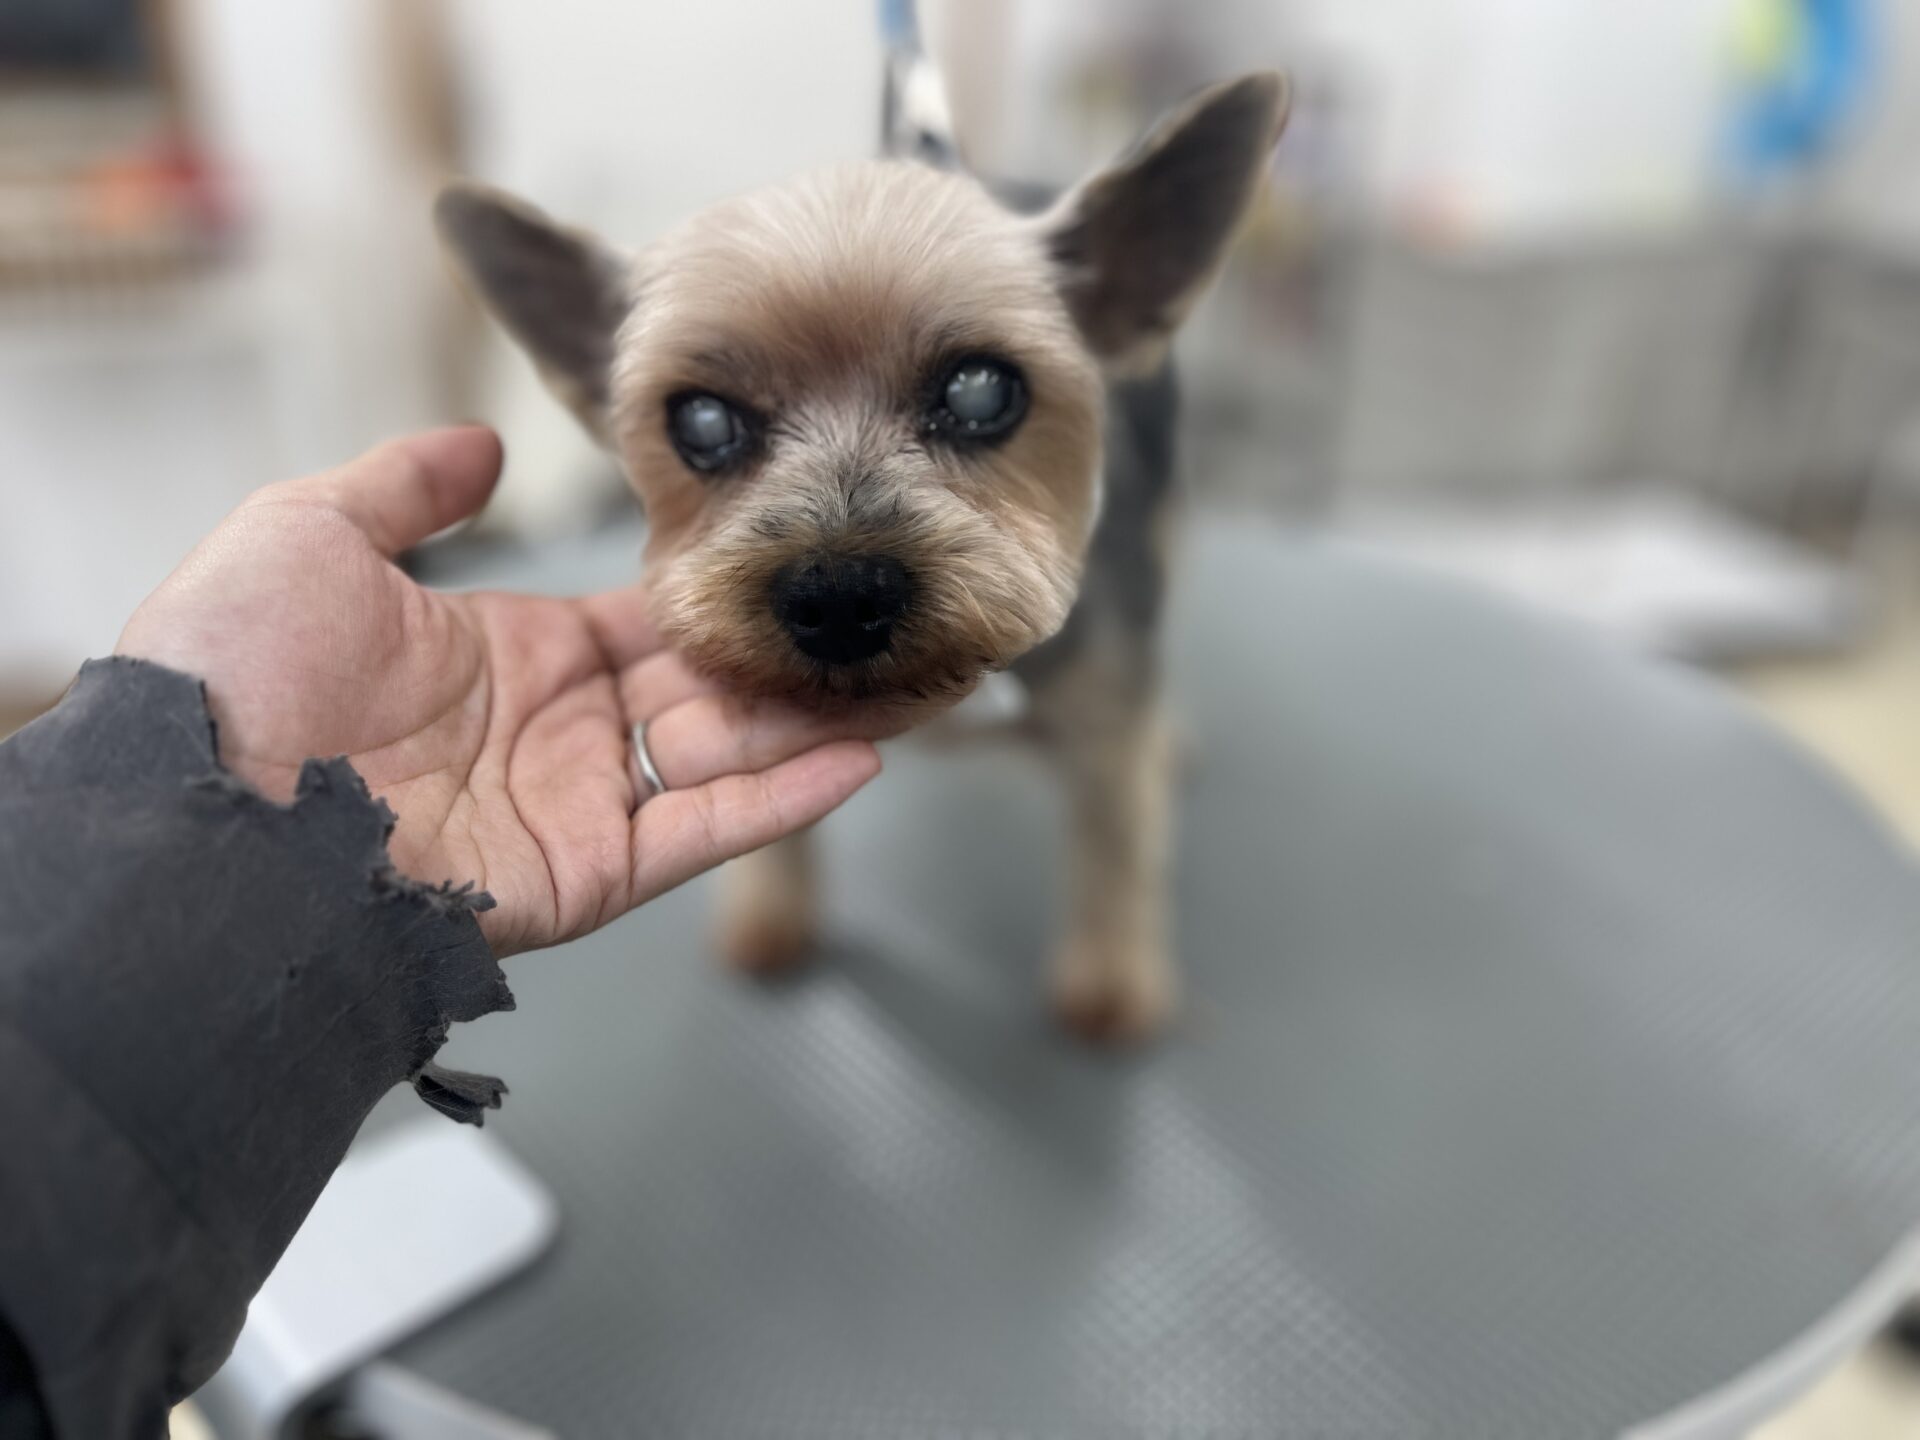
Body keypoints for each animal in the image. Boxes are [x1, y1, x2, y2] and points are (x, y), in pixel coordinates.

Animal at [435, 71, 1290, 1041]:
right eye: (700, 420)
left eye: (981, 391)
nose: (837, 594)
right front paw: (773, 911)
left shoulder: (1107, 707)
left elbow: (1116, 833)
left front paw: (1112, 982)